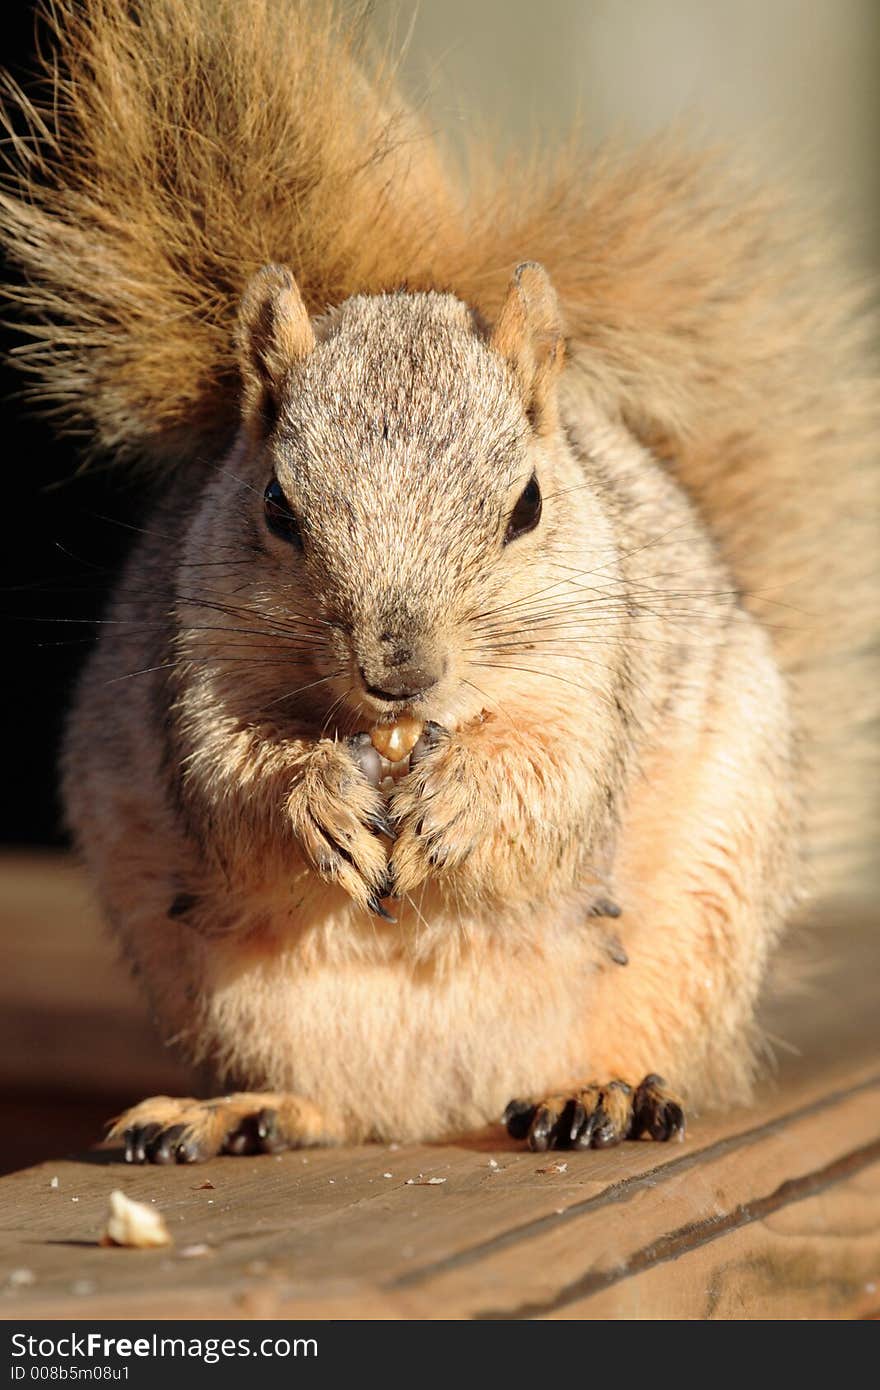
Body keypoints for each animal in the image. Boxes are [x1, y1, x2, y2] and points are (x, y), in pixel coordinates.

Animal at [3, 0, 873, 1150]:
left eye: (528, 507)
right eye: (275, 507)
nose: (400, 672)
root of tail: (443, 1104)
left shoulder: (601, 671)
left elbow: (559, 781)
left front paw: (462, 801)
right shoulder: (190, 664)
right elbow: (229, 781)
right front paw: (314, 796)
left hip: (696, 933)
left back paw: (596, 1090)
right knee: (332, 1104)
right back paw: (240, 1110)